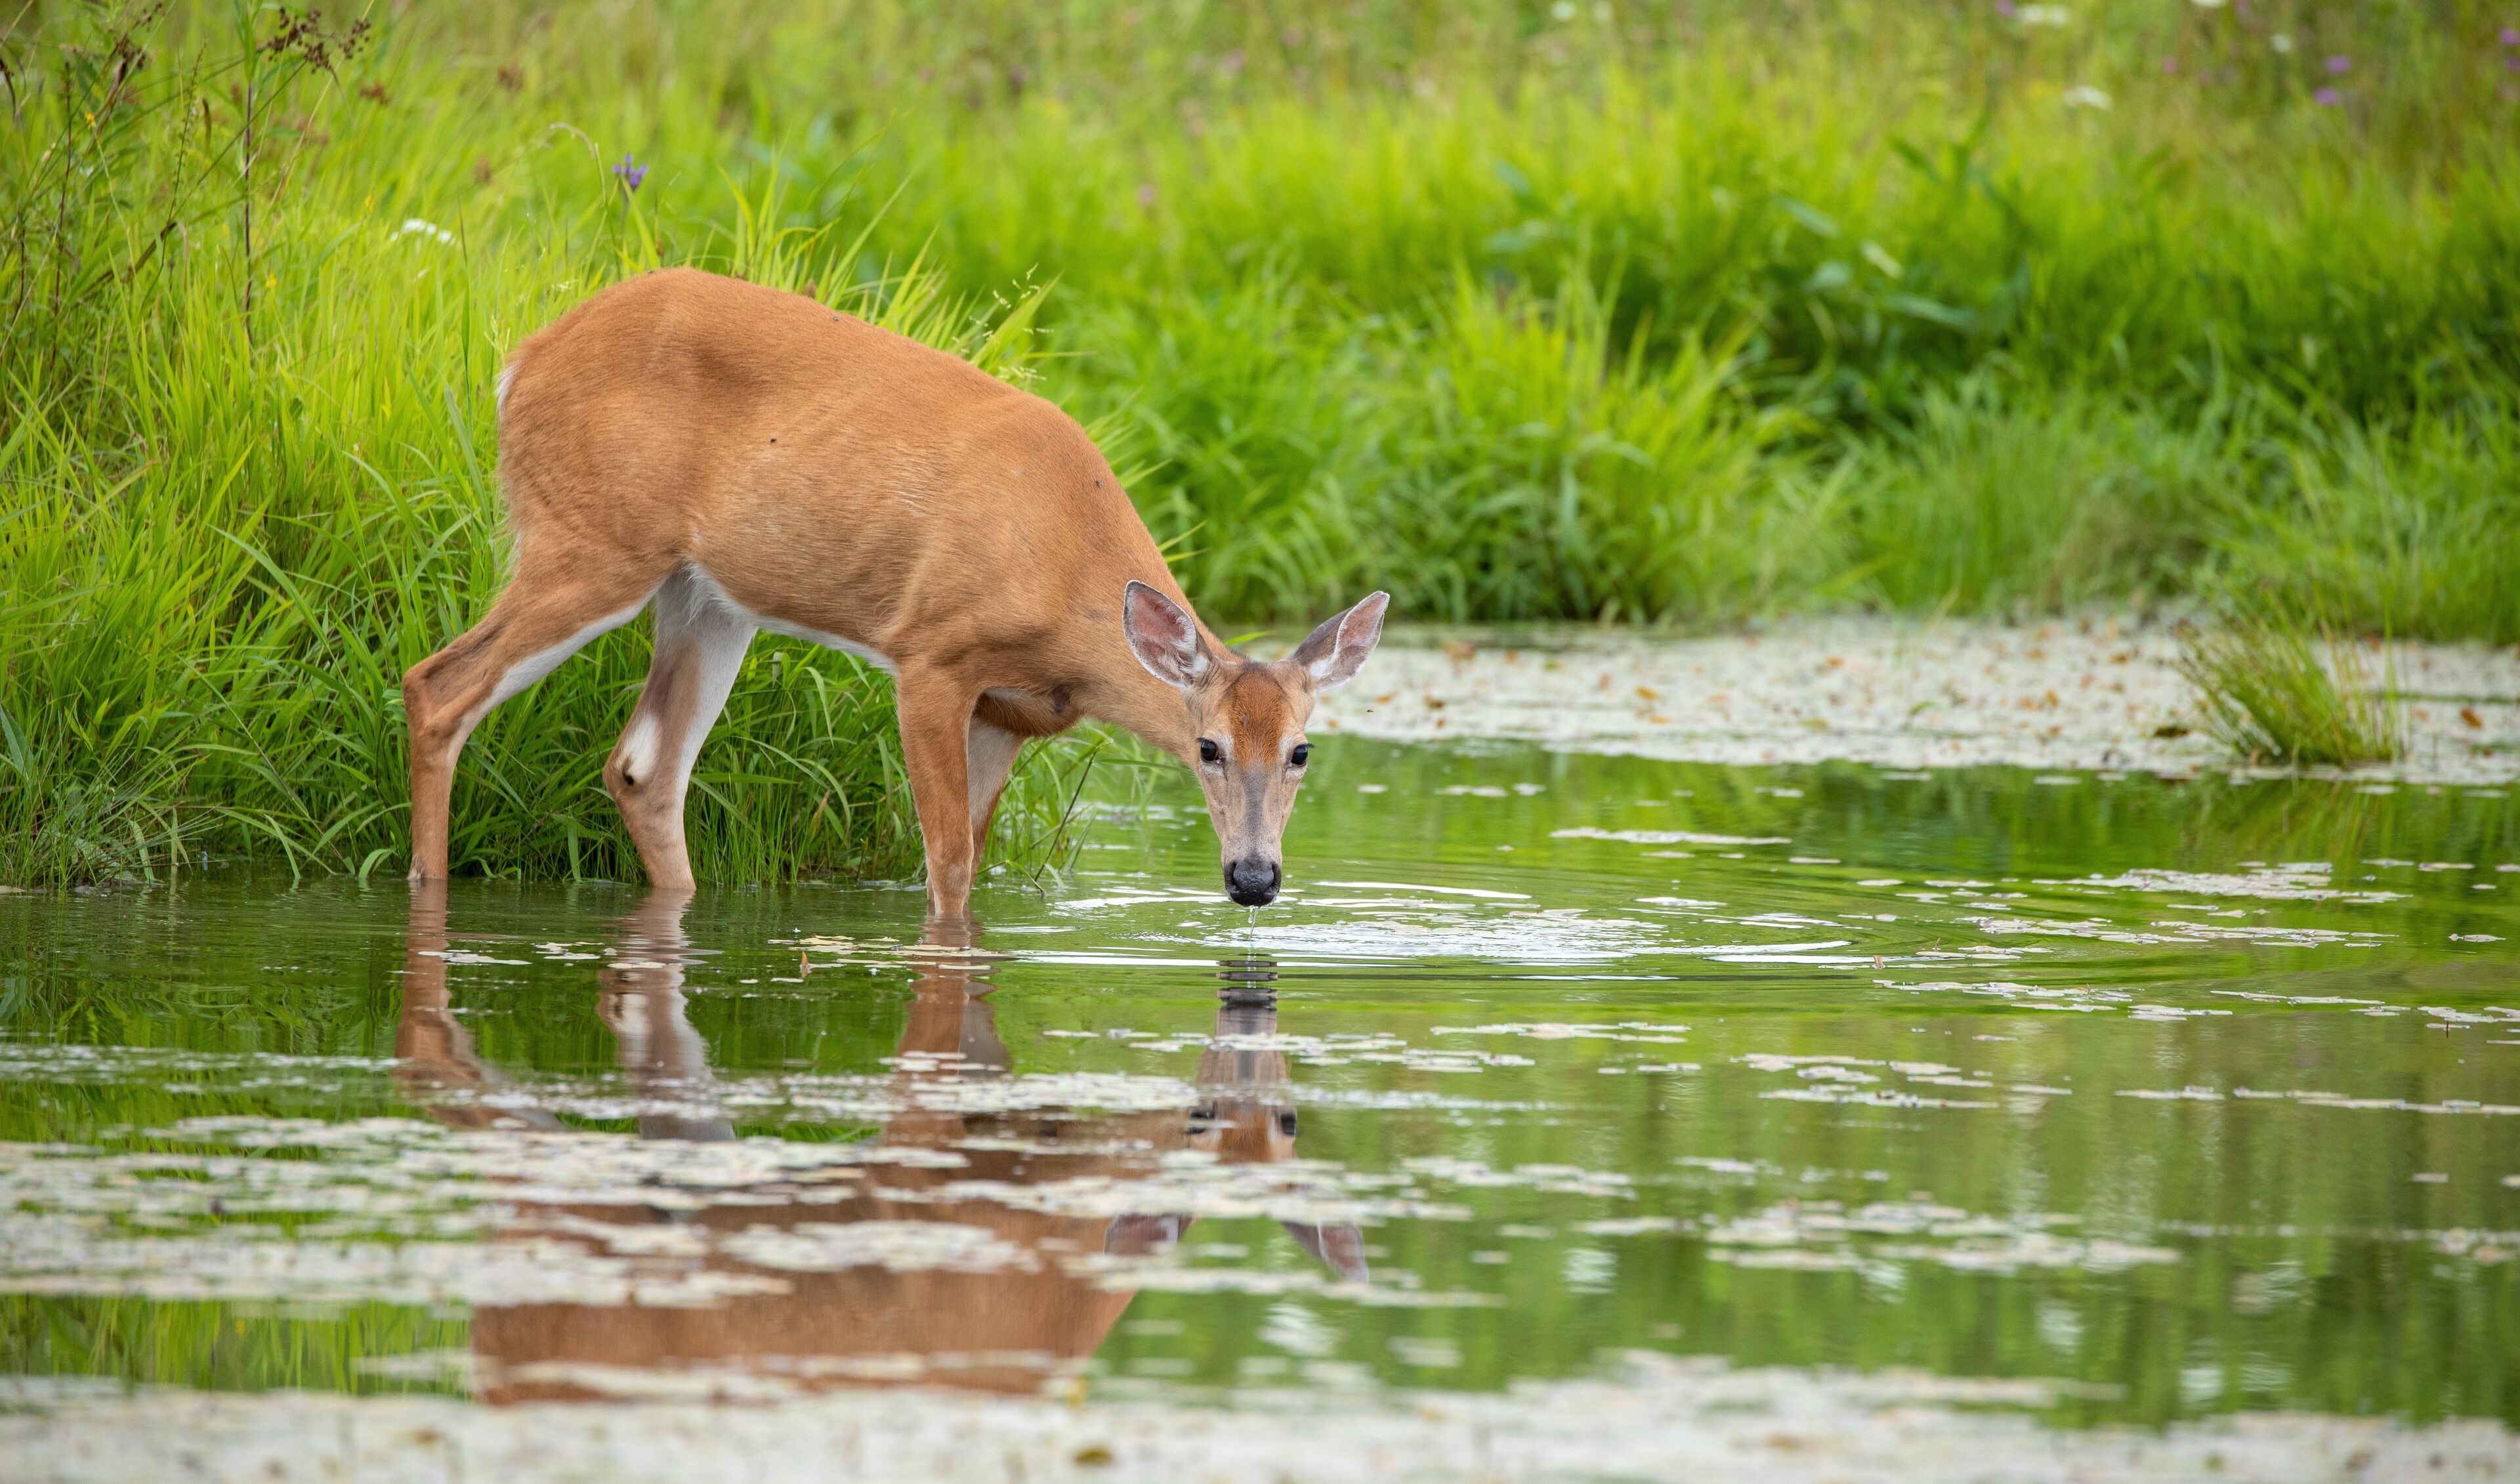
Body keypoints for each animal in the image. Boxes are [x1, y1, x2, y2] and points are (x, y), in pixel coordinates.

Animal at [401, 267, 1389, 919]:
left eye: (1302, 751)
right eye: (1208, 746)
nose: (1253, 878)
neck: (1067, 575)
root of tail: (519, 364)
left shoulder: (1009, 712)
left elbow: (972, 861)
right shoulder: (934, 655)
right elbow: (944, 862)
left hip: (706, 598)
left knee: (644, 766)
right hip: (592, 539)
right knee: (438, 685)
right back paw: (427, 895)